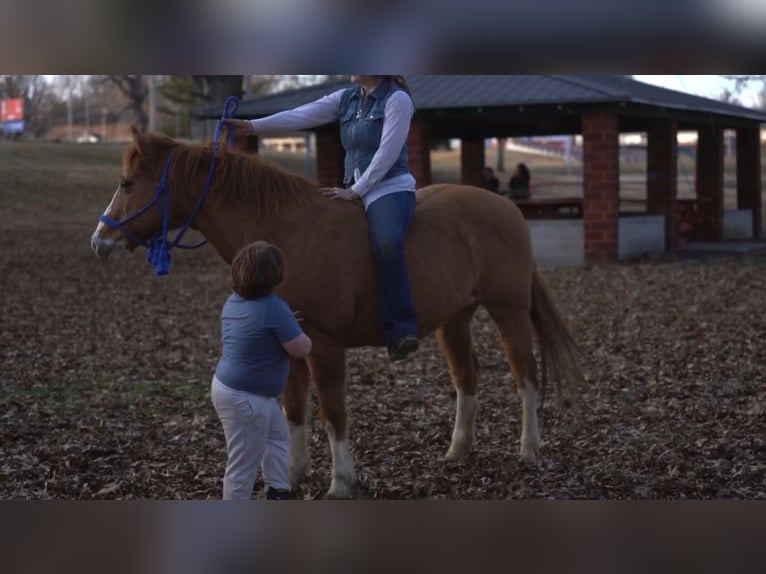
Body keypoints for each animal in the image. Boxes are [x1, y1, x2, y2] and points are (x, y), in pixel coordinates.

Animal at [90, 128, 584, 502]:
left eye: (127, 183)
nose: (100, 241)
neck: (288, 231)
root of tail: (508, 209)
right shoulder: (288, 345)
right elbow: (293, 410)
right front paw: (293, 475)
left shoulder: (324, 346)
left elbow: (332, 411)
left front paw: (341, 482)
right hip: (455, 320)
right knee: (467, 378)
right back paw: (458, 449)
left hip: (509, 312)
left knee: (525, 376)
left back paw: (529, 448)